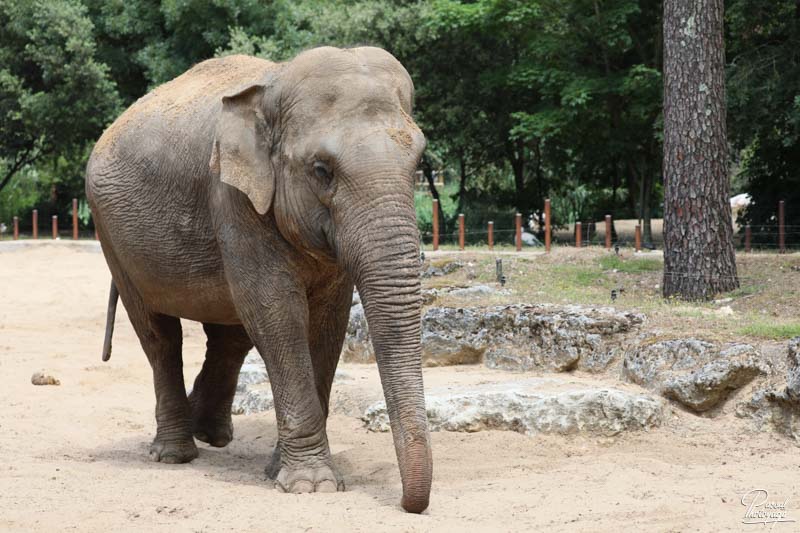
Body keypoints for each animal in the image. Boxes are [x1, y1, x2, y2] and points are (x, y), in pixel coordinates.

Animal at [86, 47, 432, 512]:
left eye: (418, 165)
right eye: (321, 170)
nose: (409, 504)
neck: (274, 86)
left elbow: (327, 323)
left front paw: (280, 471)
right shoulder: (231, 196)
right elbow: (278, 312)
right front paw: (311, 485)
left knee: (230, 335)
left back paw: (210, 433)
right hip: (112, 237)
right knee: (160, 336)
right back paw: (176, 453)